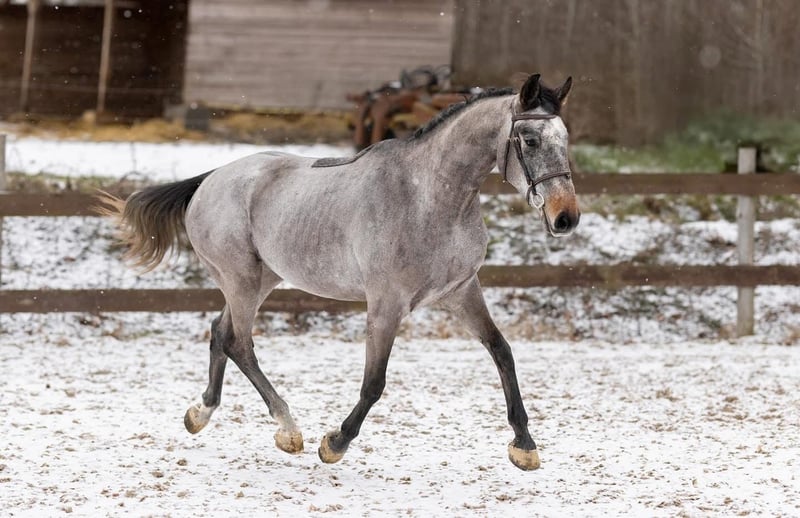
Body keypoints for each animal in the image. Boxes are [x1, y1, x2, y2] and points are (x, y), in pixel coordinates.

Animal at [98, 73, 579, 471]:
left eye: (565, 139)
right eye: (530, 140)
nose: (565, 218)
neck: (431, 197)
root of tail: (213, 177)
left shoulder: (460, 291)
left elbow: (502, 352)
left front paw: (524, 445)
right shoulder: (386, 304)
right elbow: (374, 382)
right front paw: (335, 443)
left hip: (262, 279)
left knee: (220, 331)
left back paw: (201, 414)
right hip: (241, 278)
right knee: (239, 342)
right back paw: (288, 430)